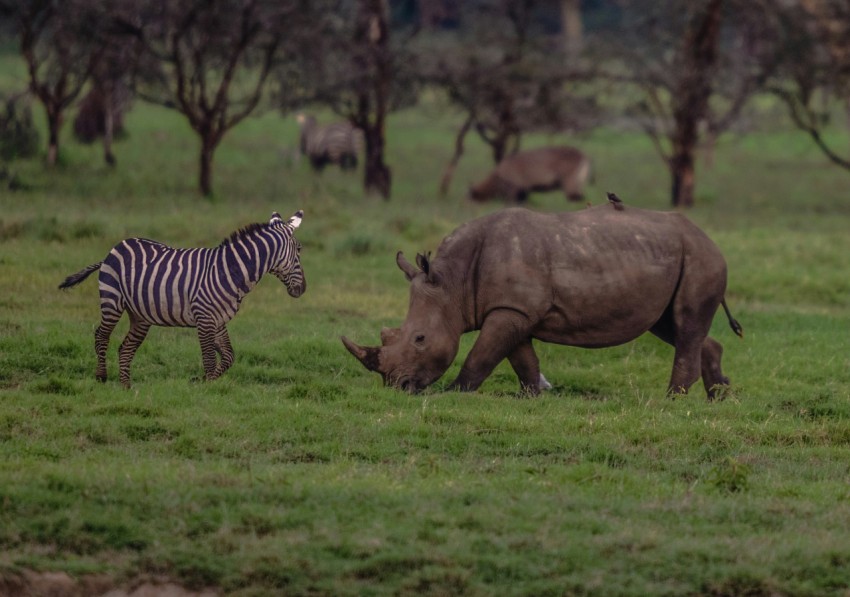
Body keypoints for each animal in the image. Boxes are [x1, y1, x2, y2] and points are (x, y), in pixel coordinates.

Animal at [59, 211, 305, 388]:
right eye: (299, 250)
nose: (302, 289)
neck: (231, 271)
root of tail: (113, 249)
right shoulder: (204, 317)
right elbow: (209, 359)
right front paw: (206, 388)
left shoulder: (218, 320)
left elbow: (228, 357)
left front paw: (203, 381)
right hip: (112, 300)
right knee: (101, 335)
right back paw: (101, 377)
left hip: (140, 315)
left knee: (125, 348)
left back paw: (126, 386)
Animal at [342, 205, 742, 398]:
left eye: (420, 339)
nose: (398, 386)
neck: (453, 282)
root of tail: (709, 238)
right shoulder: (513, 310)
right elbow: (520, 358)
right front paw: (532, 395)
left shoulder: (510, 310)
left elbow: (481, 356)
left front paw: (456, 393)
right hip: (674, 257)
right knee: (670, 325)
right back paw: (719, 395)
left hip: (701, 258)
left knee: (685, 324)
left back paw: (673, 399)